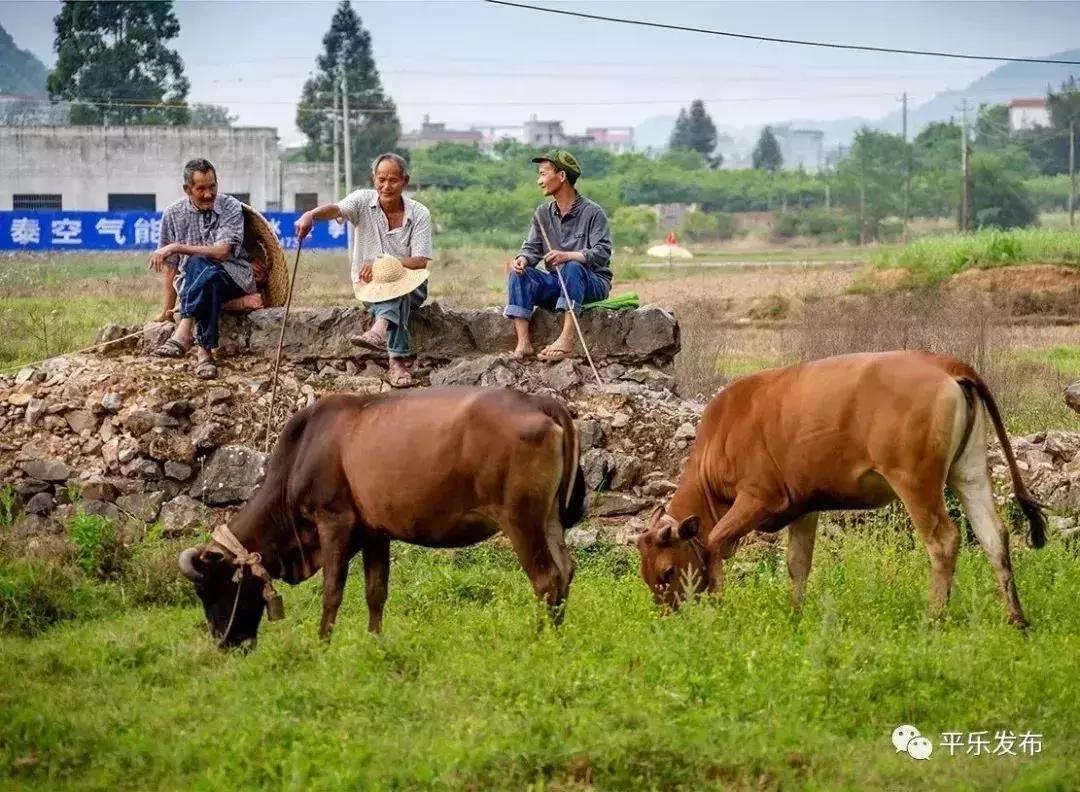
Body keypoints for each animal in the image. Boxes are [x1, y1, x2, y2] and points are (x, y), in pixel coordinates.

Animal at [179, 386, 583, 643]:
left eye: (210, 587)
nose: (224, 643)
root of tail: (539, 401)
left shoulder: (333, 521)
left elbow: (332, 590)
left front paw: (322, 644)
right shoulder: (375, 532)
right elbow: (376, 592)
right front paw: (375, 641)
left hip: (519, 519)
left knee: (546, 579)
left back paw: (540, 639)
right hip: (549, 519)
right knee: (565, 571)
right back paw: (559, 637)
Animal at [635, 350, 1041, 626]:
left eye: (668, 571)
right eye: (646, 575)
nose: (670, 618)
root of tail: (944, 363)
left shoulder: (759, 497)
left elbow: (716, 541)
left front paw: (721, 607)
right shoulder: (803, 506)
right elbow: (797, 564)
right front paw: (795, 615)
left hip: (915, 481)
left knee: (943, 540)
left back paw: (934, 619)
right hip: (968, 472)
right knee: (993, 535)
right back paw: (1016, 619)